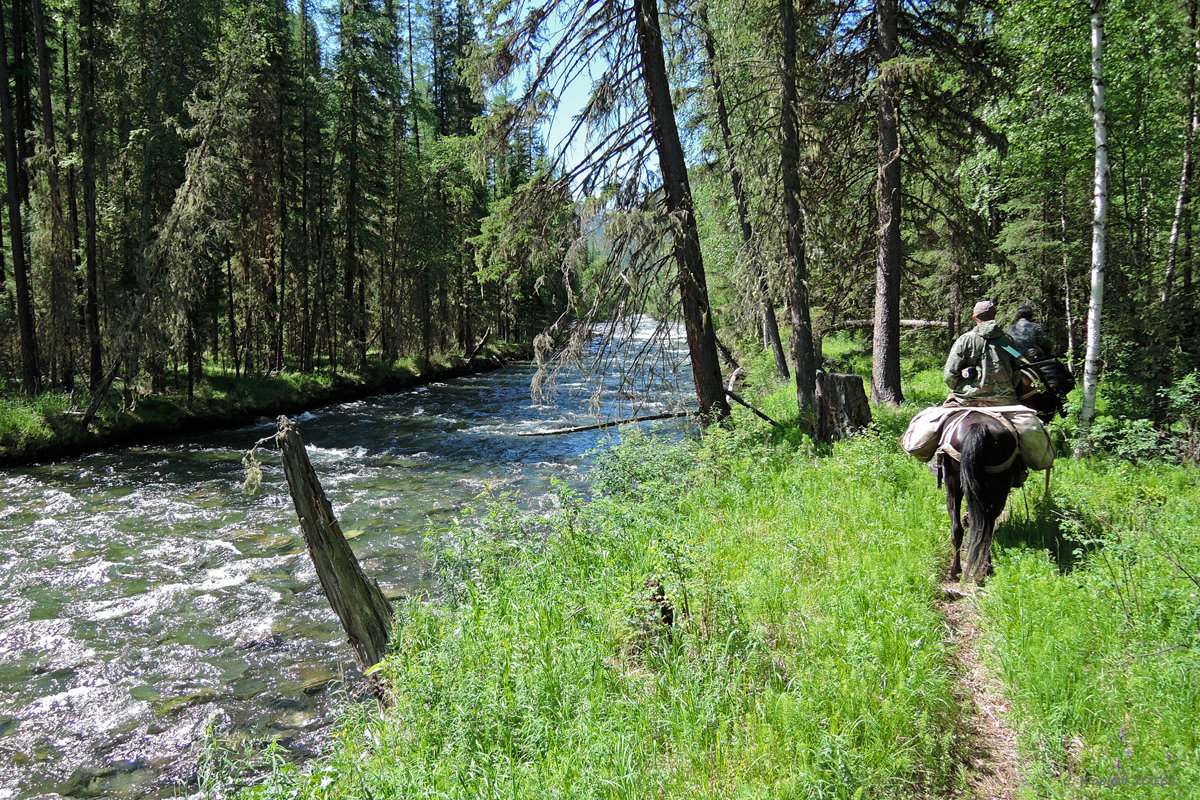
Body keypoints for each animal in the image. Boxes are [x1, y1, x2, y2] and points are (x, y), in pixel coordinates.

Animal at [936, 410, 1022, 585]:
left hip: (954, 483)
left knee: (959, 528)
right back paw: (983, 570)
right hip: (998, 488)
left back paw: (956, 572)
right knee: (986, 528)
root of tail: (978, 426)